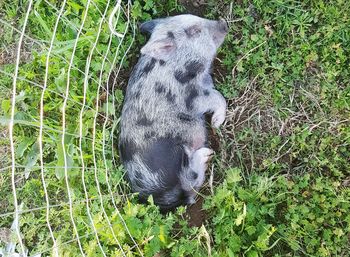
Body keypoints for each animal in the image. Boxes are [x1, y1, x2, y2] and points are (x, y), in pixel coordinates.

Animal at [119, 14, 228, 210]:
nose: (224, 22)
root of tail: (161, 197)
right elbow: (218, 97)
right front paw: (216, 123)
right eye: (194, 31)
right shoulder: (192, 98)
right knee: (191, 181)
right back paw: (207, 153)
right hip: (176, 156)